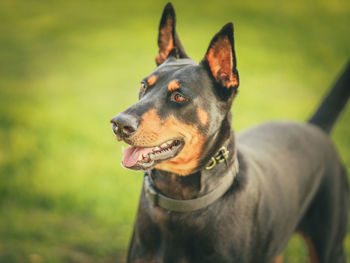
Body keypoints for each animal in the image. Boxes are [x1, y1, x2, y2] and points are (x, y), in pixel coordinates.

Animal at [110, 2, 350, 263]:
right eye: (144, 85)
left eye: (179, 96)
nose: (118, 124)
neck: (180, 201)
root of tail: (314, 127)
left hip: (330, 245)